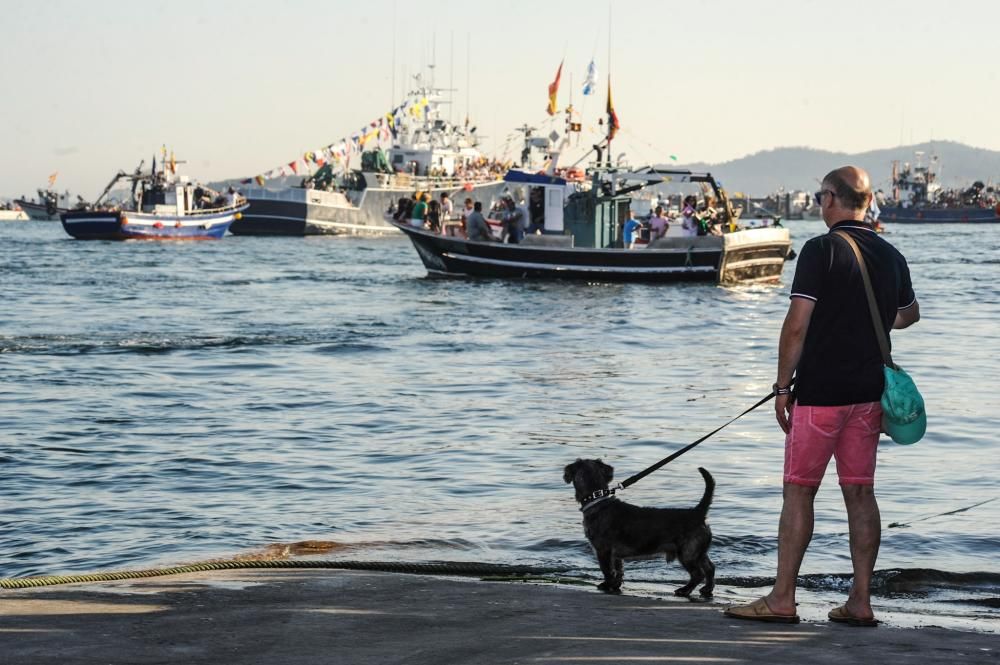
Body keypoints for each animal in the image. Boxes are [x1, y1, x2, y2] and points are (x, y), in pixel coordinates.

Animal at [568, 456, 716, 596]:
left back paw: (684, 590)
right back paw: (707, 589)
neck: (597, 499)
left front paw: (607, 585)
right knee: (710, 568)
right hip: (699, 552)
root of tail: (697, 513)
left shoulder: (603, 550)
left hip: (687, 553)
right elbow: (618, 570)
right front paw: (615, 585)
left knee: (698, 574)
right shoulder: (615, 555)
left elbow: (607, 570)